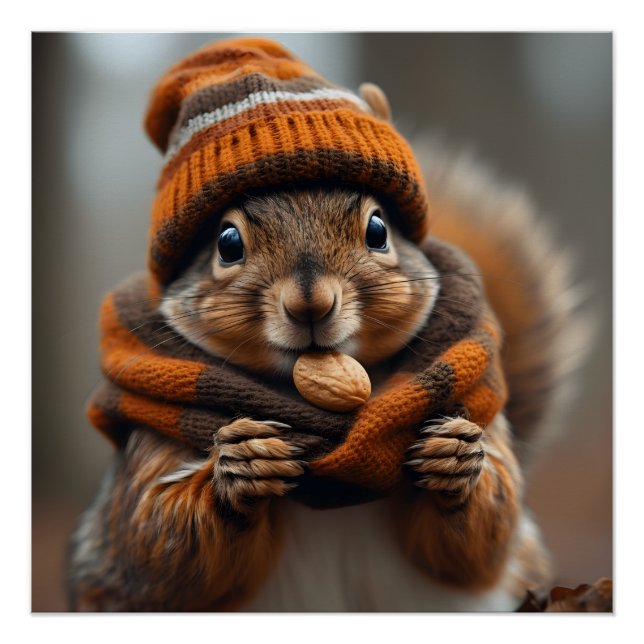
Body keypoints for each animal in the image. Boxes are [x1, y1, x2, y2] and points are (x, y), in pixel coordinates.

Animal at [66, 39, 587, 612]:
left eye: (379, 230)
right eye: (227, 243)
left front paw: (456, 461)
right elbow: (157, 539)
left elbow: (478, 543)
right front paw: (239, 468)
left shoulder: (483, 421)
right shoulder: (150, 450)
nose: (310, 303)